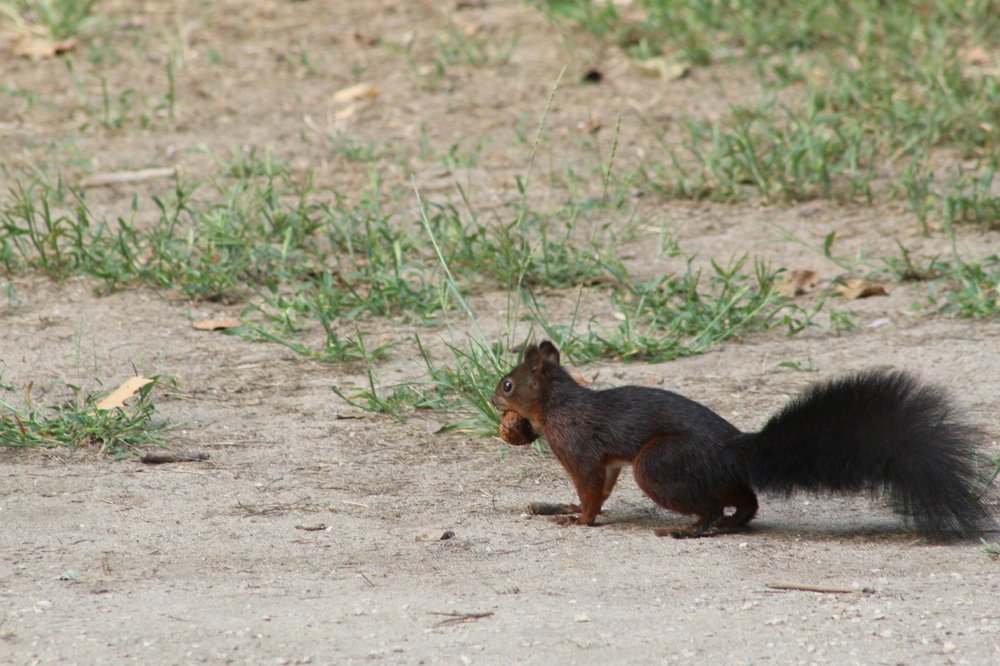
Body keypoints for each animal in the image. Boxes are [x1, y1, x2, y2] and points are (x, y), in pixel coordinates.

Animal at [492, 340, 993, 539]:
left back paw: (689, 529)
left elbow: (591, 489)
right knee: (745, 500)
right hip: (708, 474)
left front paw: (577, 519)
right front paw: (569, 509)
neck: (559, 403)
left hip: (659, 464)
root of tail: (735, 449)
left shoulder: (579, 448)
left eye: (508, 384)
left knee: (710, 505)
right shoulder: (607, 461)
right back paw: (733, 523)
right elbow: (600, 487)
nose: (494, 401)